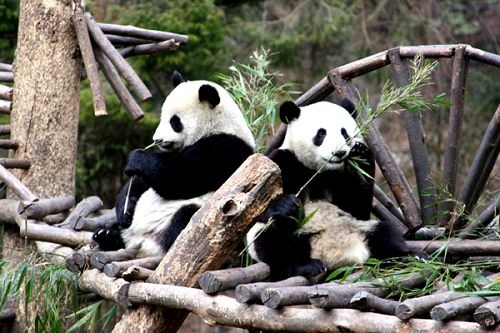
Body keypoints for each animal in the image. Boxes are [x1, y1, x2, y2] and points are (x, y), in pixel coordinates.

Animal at [93, 71, 258, 255]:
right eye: (162, 118)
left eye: (174, 121)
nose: (156, 140)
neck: (219, 125)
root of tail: (140, 242)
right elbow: (140, 182)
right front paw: (125, 210)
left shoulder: (224, 149)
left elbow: (180, 177)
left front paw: (136, 158)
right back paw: (107, 234)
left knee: (187, 219)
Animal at [247, 99, 414, 280]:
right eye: (321, 133)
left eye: (344, 132)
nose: (339, 153)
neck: (319, 171)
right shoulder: (283, 163)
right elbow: (258, 206)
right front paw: (286, 204)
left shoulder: (339, 178)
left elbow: (357, 206)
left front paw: (359, 154)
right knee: (273, 242)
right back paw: (307, 266)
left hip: (359, 228)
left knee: (385, 233)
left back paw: (409, 257)